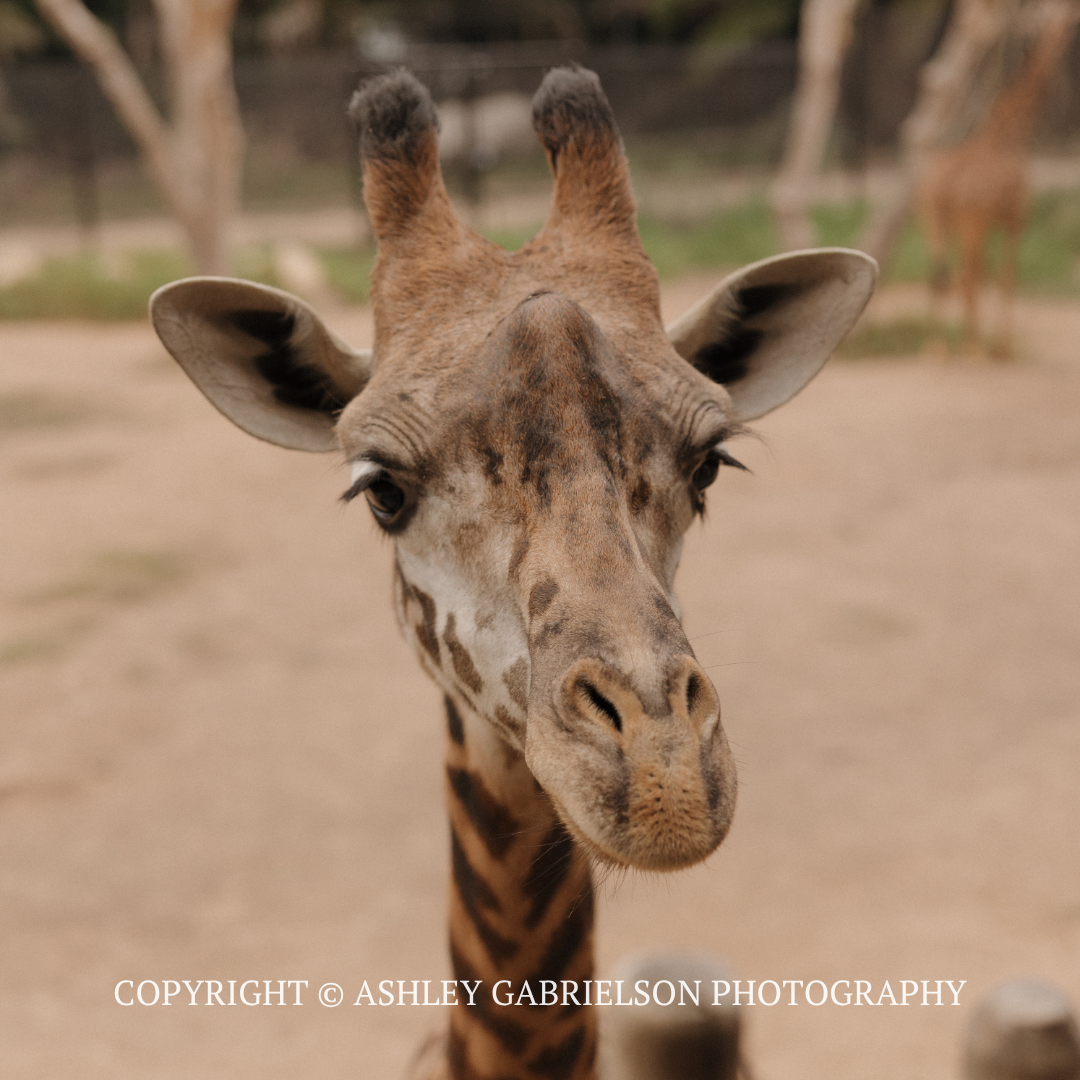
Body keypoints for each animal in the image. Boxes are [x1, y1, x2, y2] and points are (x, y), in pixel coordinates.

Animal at [918, 0, 1078, 357]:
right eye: (1063, 16)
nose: (1069, 24)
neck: (1012, 132)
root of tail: (943, 186)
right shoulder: (1017, 217)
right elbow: (1008, 277)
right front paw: (1004, 346)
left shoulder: (997, 220)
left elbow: (995, 276)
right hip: (971, 223)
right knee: (968, 277)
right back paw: (973, 349)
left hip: (936, 219)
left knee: (941, 277)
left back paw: (939, 347)